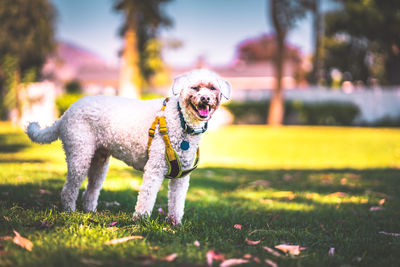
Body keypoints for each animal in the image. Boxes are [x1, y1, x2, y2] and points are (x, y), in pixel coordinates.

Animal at [25, 69, 231, 226]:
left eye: (212, 88)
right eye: (195, 87)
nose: (205, 98)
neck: (180, 121)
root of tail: (65, 115)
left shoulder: (181, 176)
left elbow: (177, 201)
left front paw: (175, 224)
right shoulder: (155, 168)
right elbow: (146, 197)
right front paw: (141, 221)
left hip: (99, 162)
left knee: (91, 189)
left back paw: (90, 211)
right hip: (79, 156)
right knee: (69, 189)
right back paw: (69, 211)